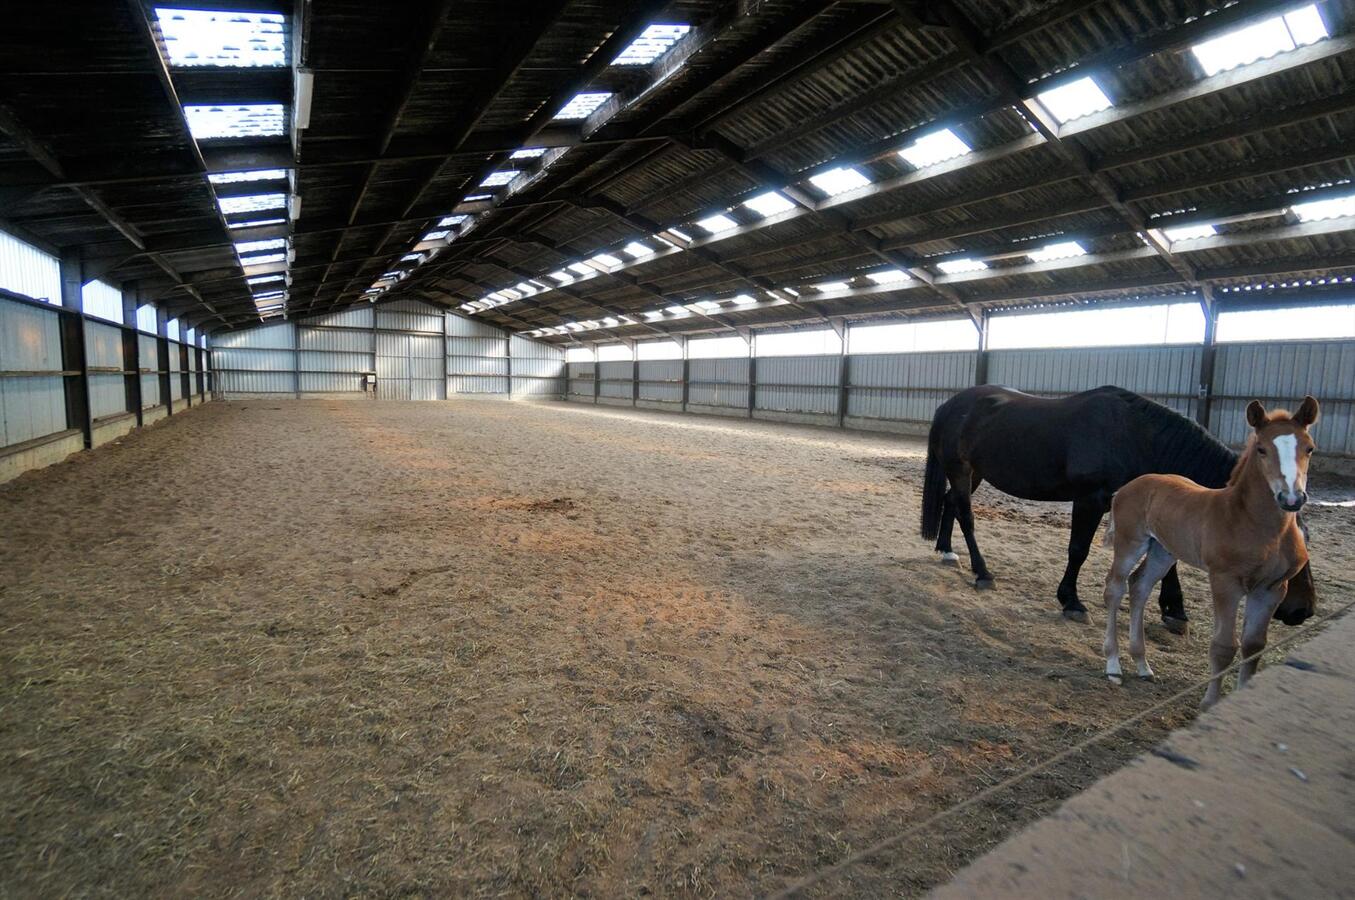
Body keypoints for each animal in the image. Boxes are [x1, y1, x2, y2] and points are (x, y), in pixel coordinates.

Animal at [921, 384, 1311, 626]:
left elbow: (1167, 559)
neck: (1138, 438)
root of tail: (950, 405)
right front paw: (1071, 601)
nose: (1302, 611)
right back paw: (982, 572)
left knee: (951, 503)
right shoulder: (1091, 499)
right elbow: (1078, 550)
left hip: (974, 473)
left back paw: (947, 551)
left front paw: (1174, 611)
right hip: (961, 469)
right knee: (966, 514)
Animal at [1100, 398, 1311, 704]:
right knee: (1114, 588)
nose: (1291, 497)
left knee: (1139, 586)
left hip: (1163, 550)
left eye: (1309, 447)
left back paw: (1142, 664)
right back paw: (1113, 666)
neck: (1255, 525)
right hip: (1130, 542)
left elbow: (1253, 646)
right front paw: (1210, 703)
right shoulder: (1225, 582)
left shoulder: (1271, 589)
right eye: (1261, 449)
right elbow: (1223, 646)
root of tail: (1127, 487)